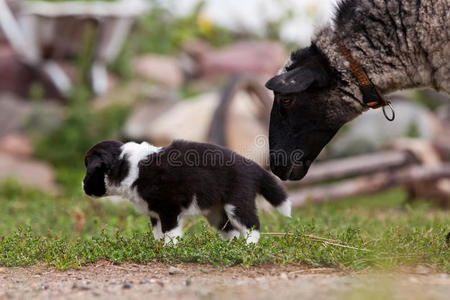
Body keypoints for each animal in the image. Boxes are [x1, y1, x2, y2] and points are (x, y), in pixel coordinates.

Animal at [82, 140, 290, 244]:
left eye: (90, 171)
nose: (82, 186)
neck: (128, 165)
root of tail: (254, 167)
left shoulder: (169, 209)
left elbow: (170, 233)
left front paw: (170, 250)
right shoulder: (155, 213)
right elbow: (158, 233)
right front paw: (157, 248)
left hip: (237, 203)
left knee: (252, 226)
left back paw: (249, 247)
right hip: (216, 212)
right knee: (230, 230)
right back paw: (228, 249)